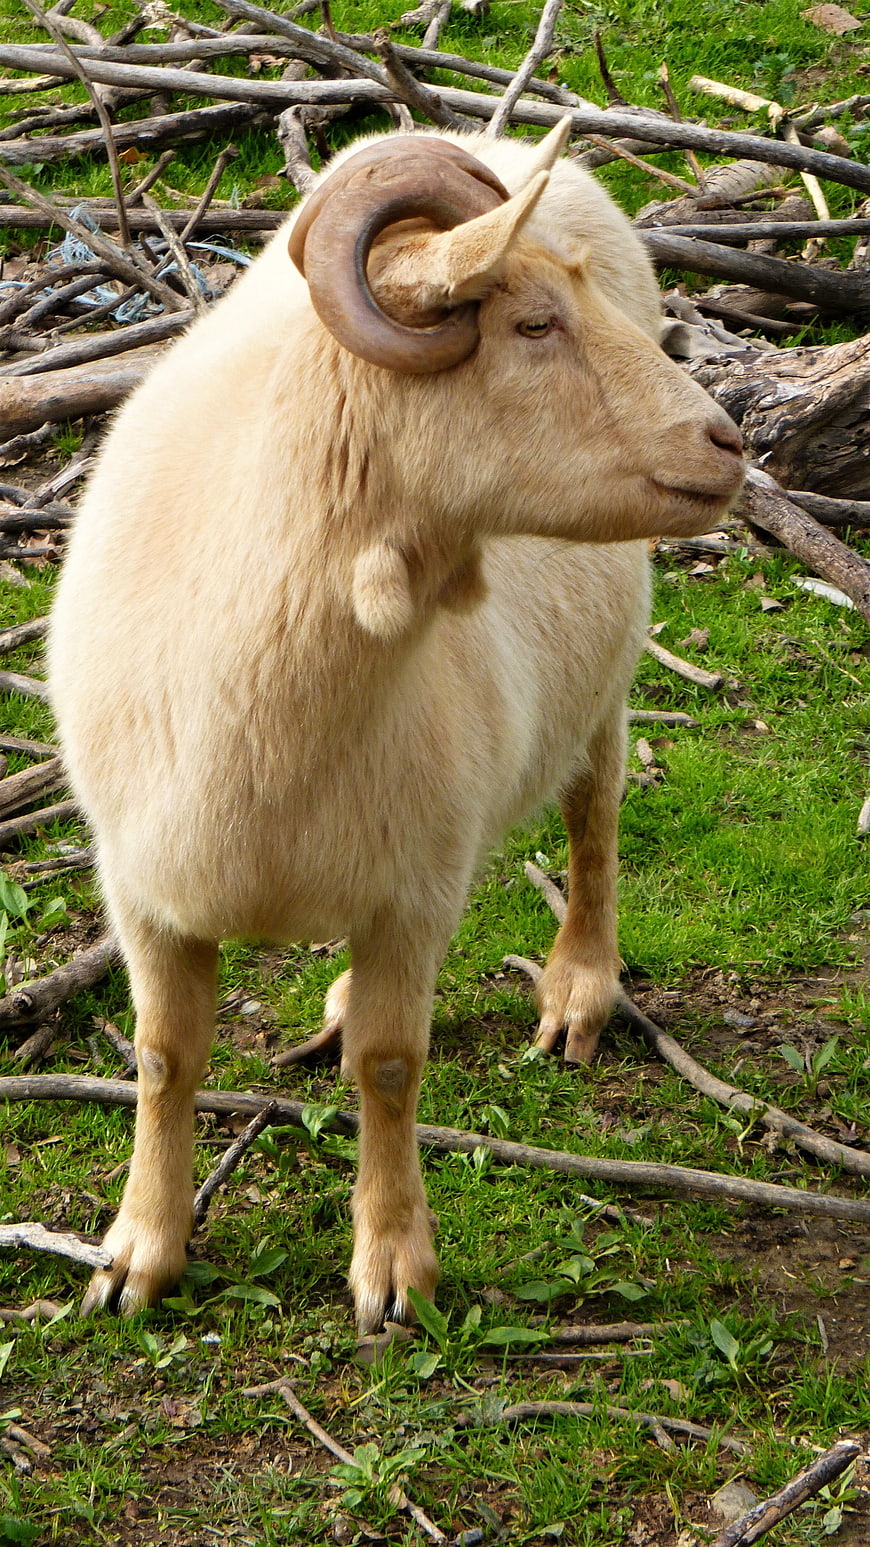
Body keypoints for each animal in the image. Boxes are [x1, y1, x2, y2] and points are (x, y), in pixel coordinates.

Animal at [48, 119, 744, 1332]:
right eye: (532, 322)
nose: (728, 439)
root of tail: (504, 133)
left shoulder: (411, 889)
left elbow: (389, 1065)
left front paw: (393, 1267)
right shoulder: (145, 887)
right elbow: (164, 1056)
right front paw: (138, 1253)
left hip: (605, 673)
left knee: (594, 816)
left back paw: (579, 985)